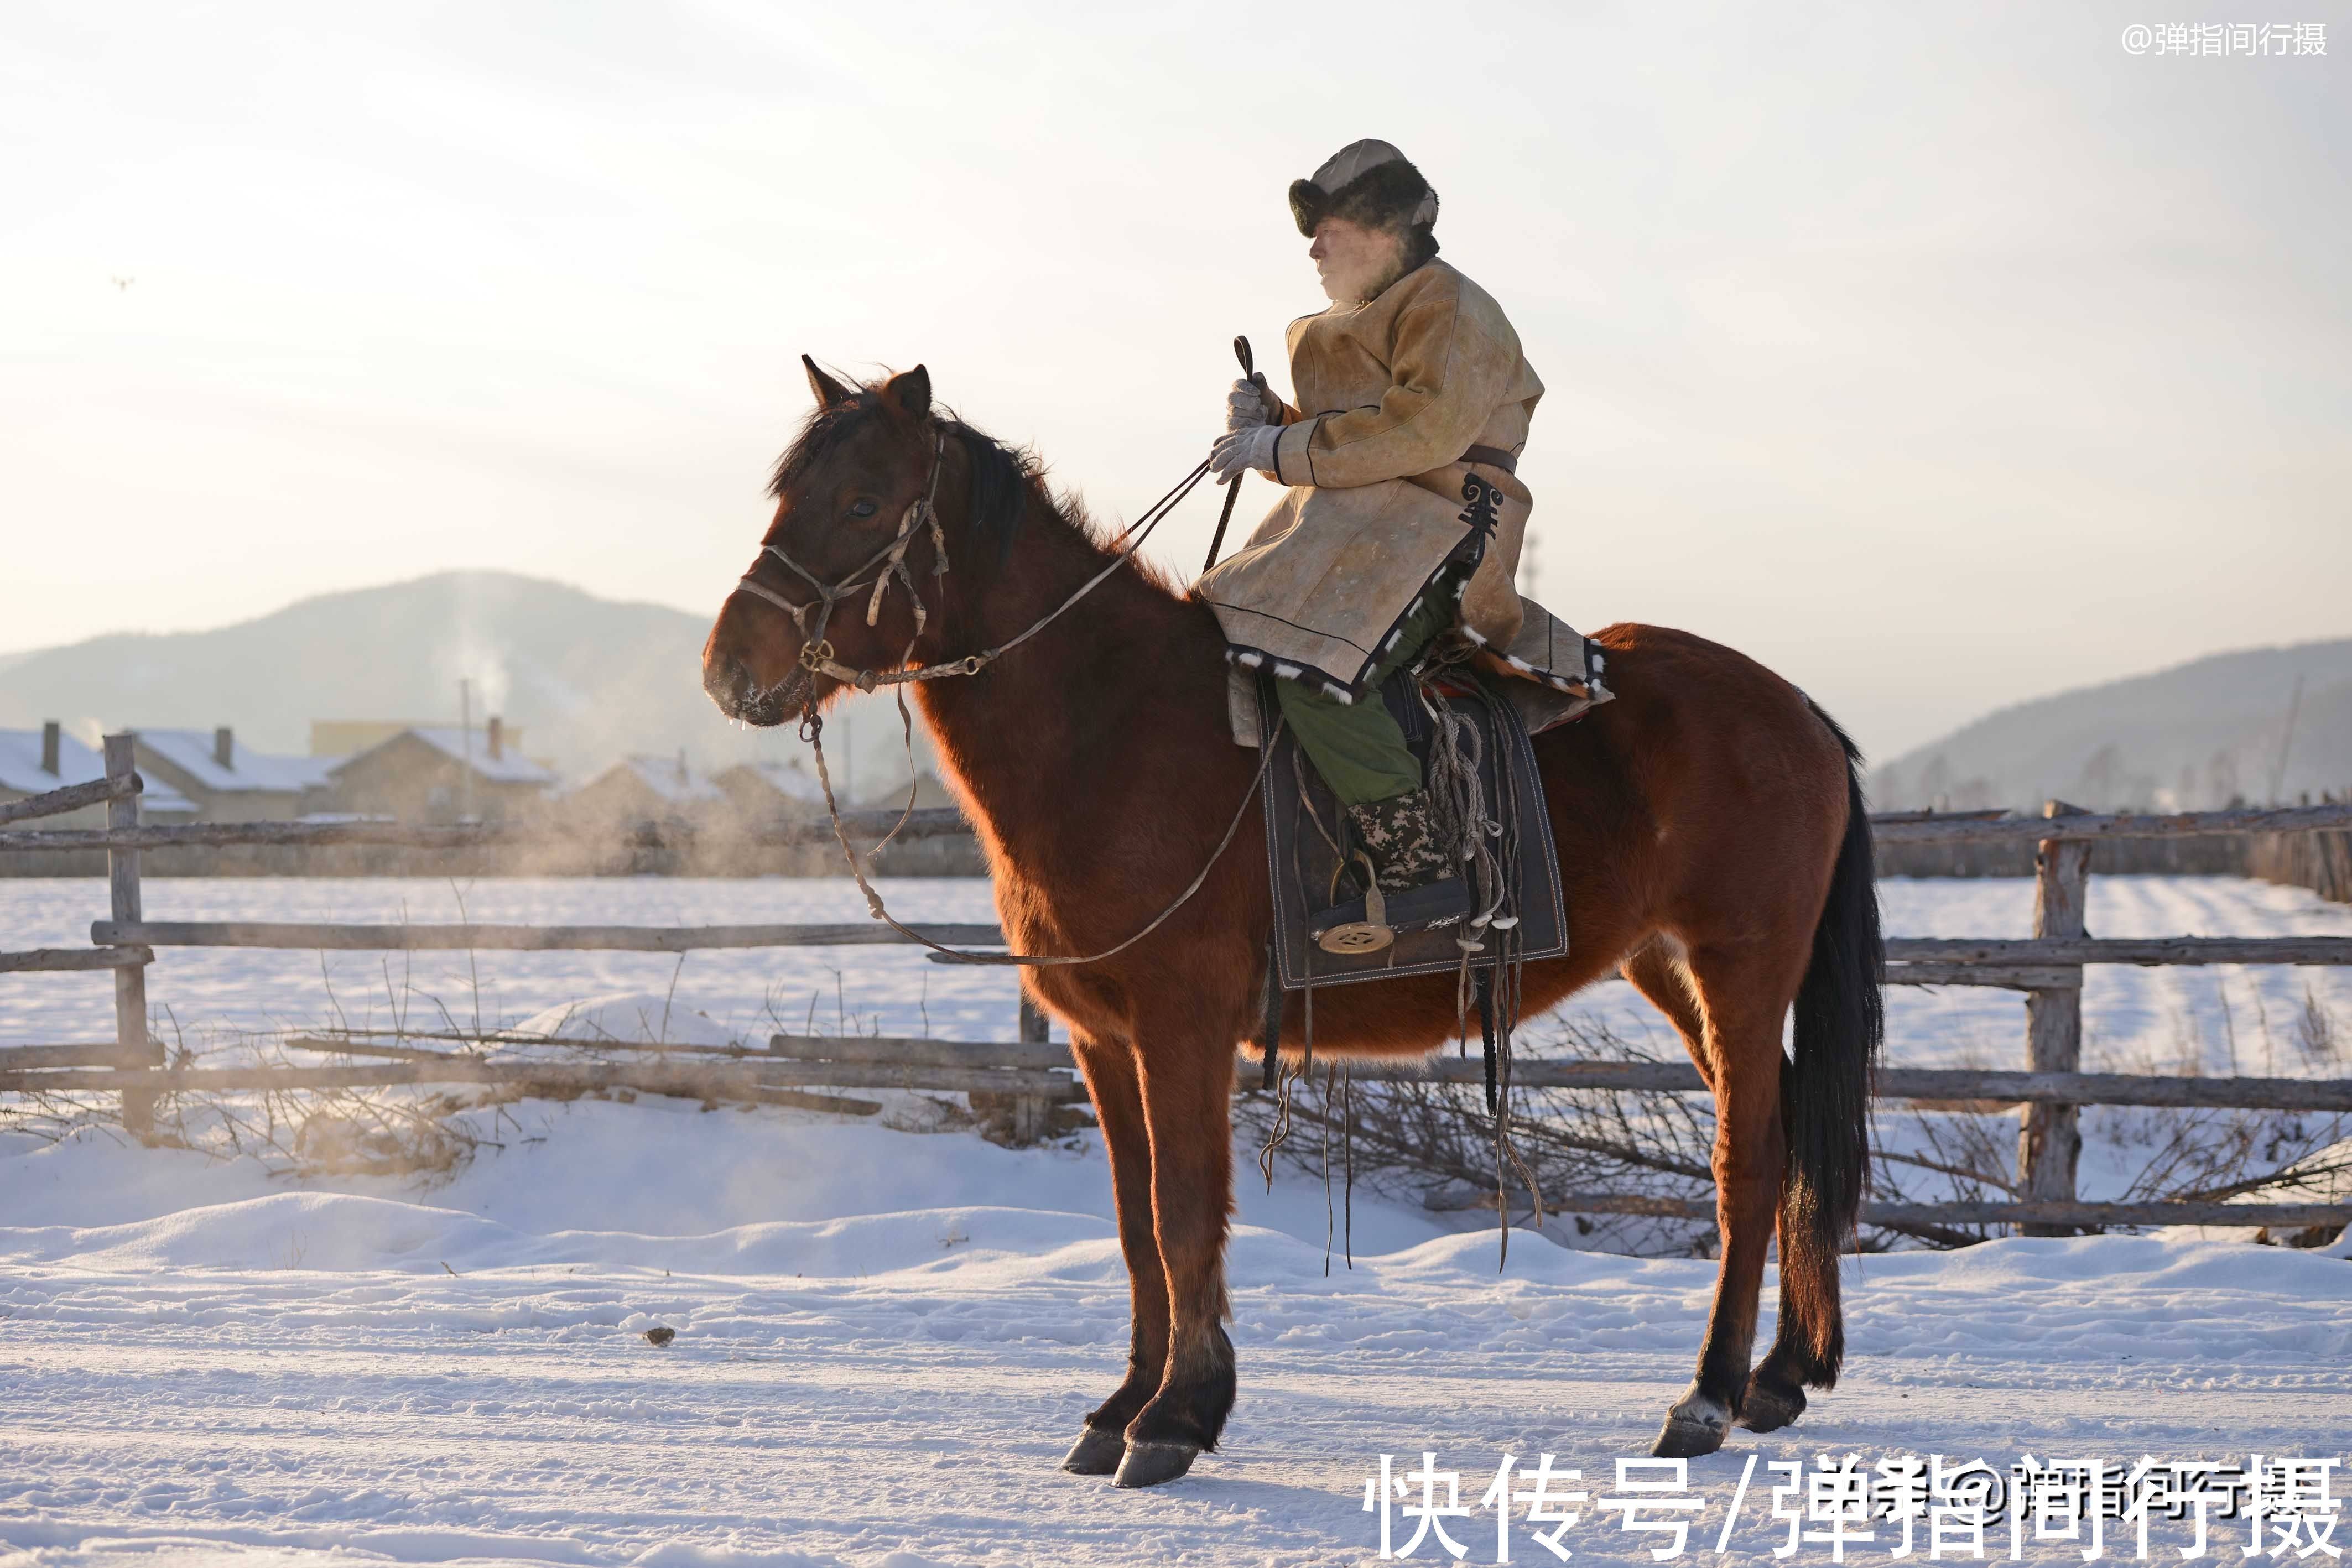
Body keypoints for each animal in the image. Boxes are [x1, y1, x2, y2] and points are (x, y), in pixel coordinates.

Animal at [691, 362, 1872, 1495]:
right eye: (788, 495)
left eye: (862, 501)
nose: (728, 666)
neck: (1108, 728)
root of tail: (1794, 709)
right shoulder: (1102, 1039)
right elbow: (1135, 1223)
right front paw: (1123, 1407)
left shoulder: (1181, 1028)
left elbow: (1183, 1211)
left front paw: (1177, 1416)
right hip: (1671, 970)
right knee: (1779, 1148)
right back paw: (1775, 1378)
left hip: (1739, 965)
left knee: (1747, 1165)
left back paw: (1707, 1397)